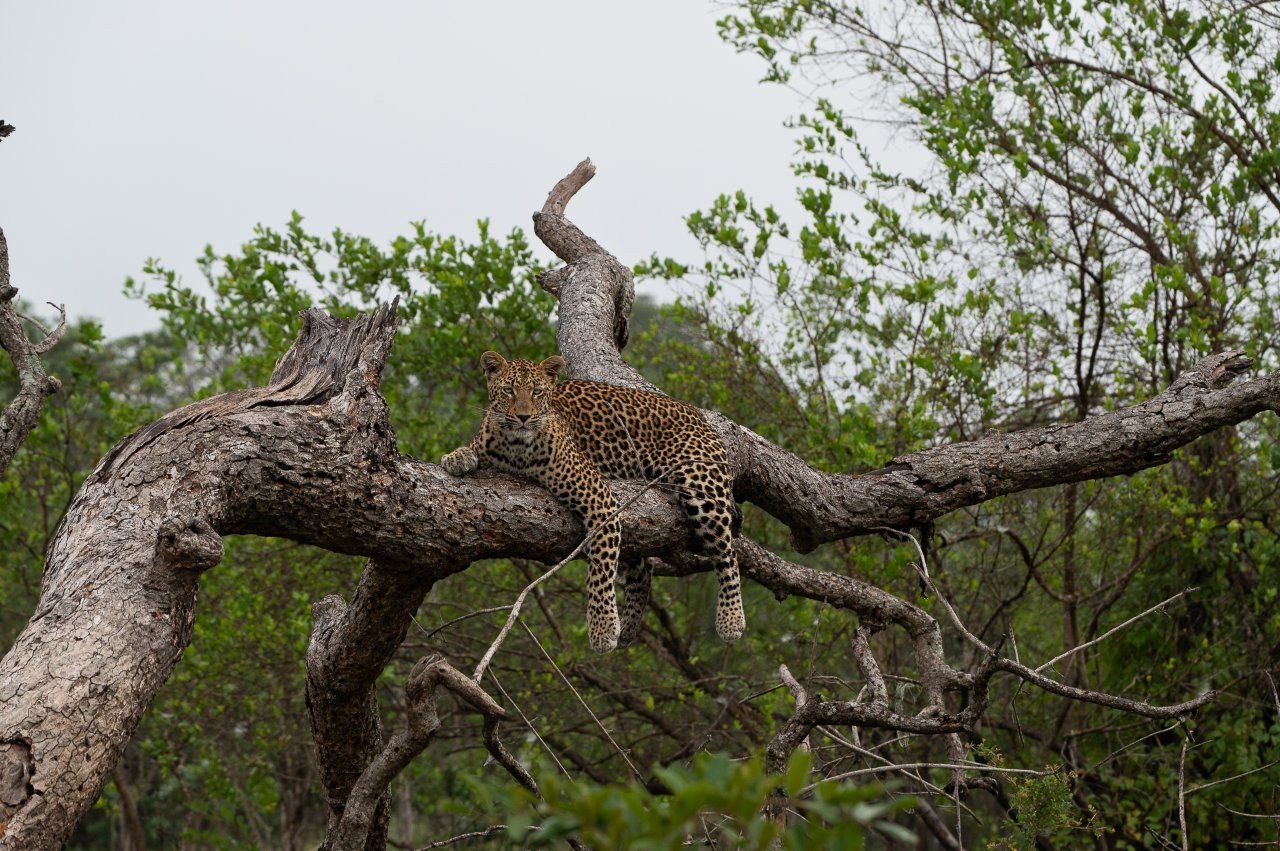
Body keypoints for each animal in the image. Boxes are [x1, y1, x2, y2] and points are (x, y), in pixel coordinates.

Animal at [440, 351, 744, 653]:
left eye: (537, 392)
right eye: (509, 391)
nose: (524, 417)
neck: (515, 447)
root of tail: (698, 415)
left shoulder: (600, 498)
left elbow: (600, 567)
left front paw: (603, 628)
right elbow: (472, 448)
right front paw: (456, 457)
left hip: (700, 484)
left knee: (727, 553)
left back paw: (731, 619)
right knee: (643, 569)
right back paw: (630, 627)